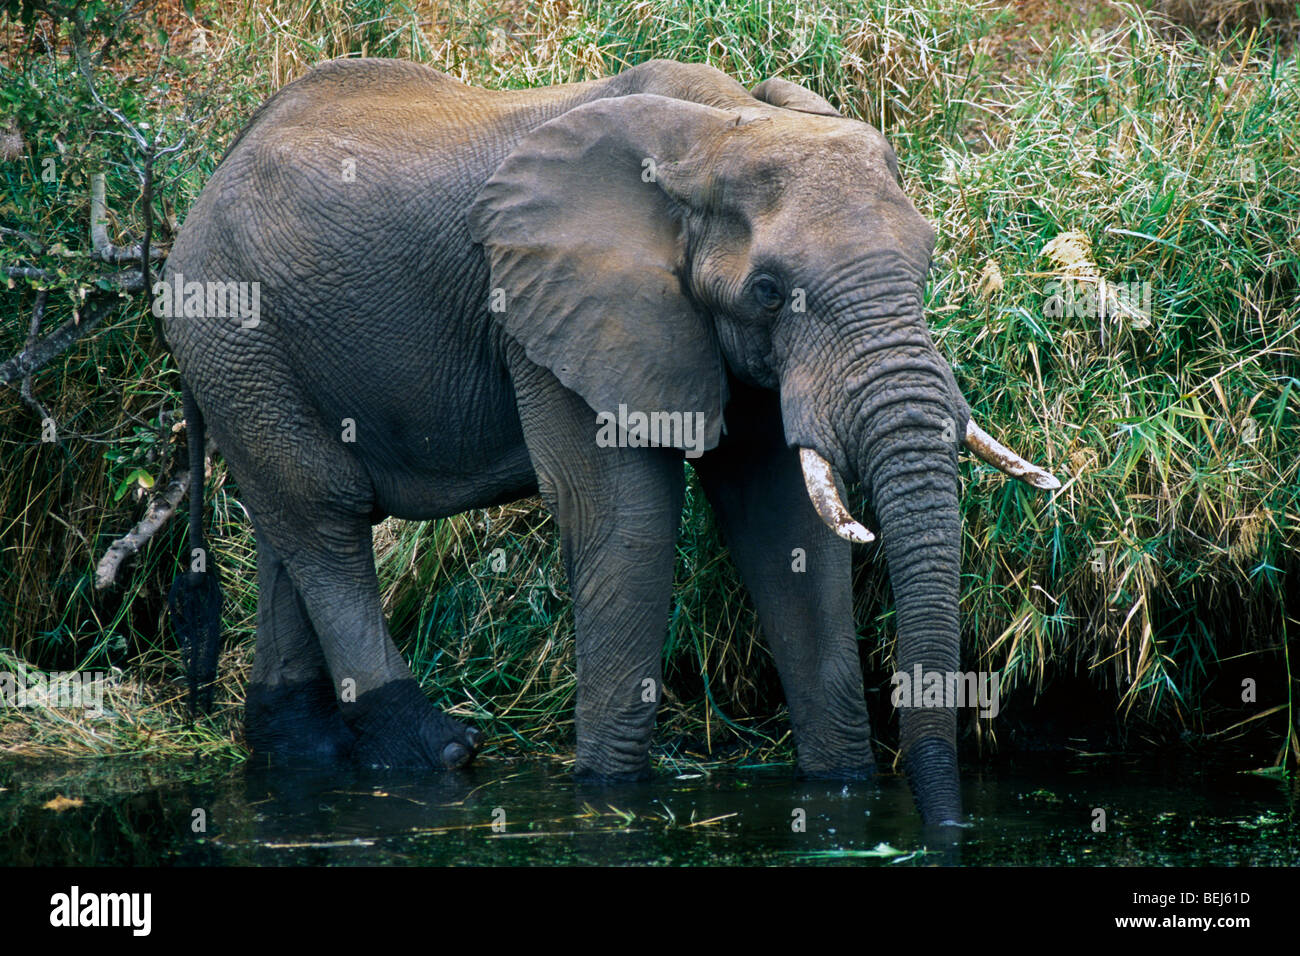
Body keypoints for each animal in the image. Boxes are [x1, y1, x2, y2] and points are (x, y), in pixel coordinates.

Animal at [159, 55, 1055, 827]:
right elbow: (625, 524)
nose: (945, 827)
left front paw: (841, 790)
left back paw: (298, 752)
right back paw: (434, 751)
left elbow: (784, 529)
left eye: (927, 260)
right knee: (325, 515)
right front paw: (607, 794)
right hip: (234, 333)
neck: (721, 129)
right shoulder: (548, 306)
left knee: (290, 523)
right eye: (769, 291)